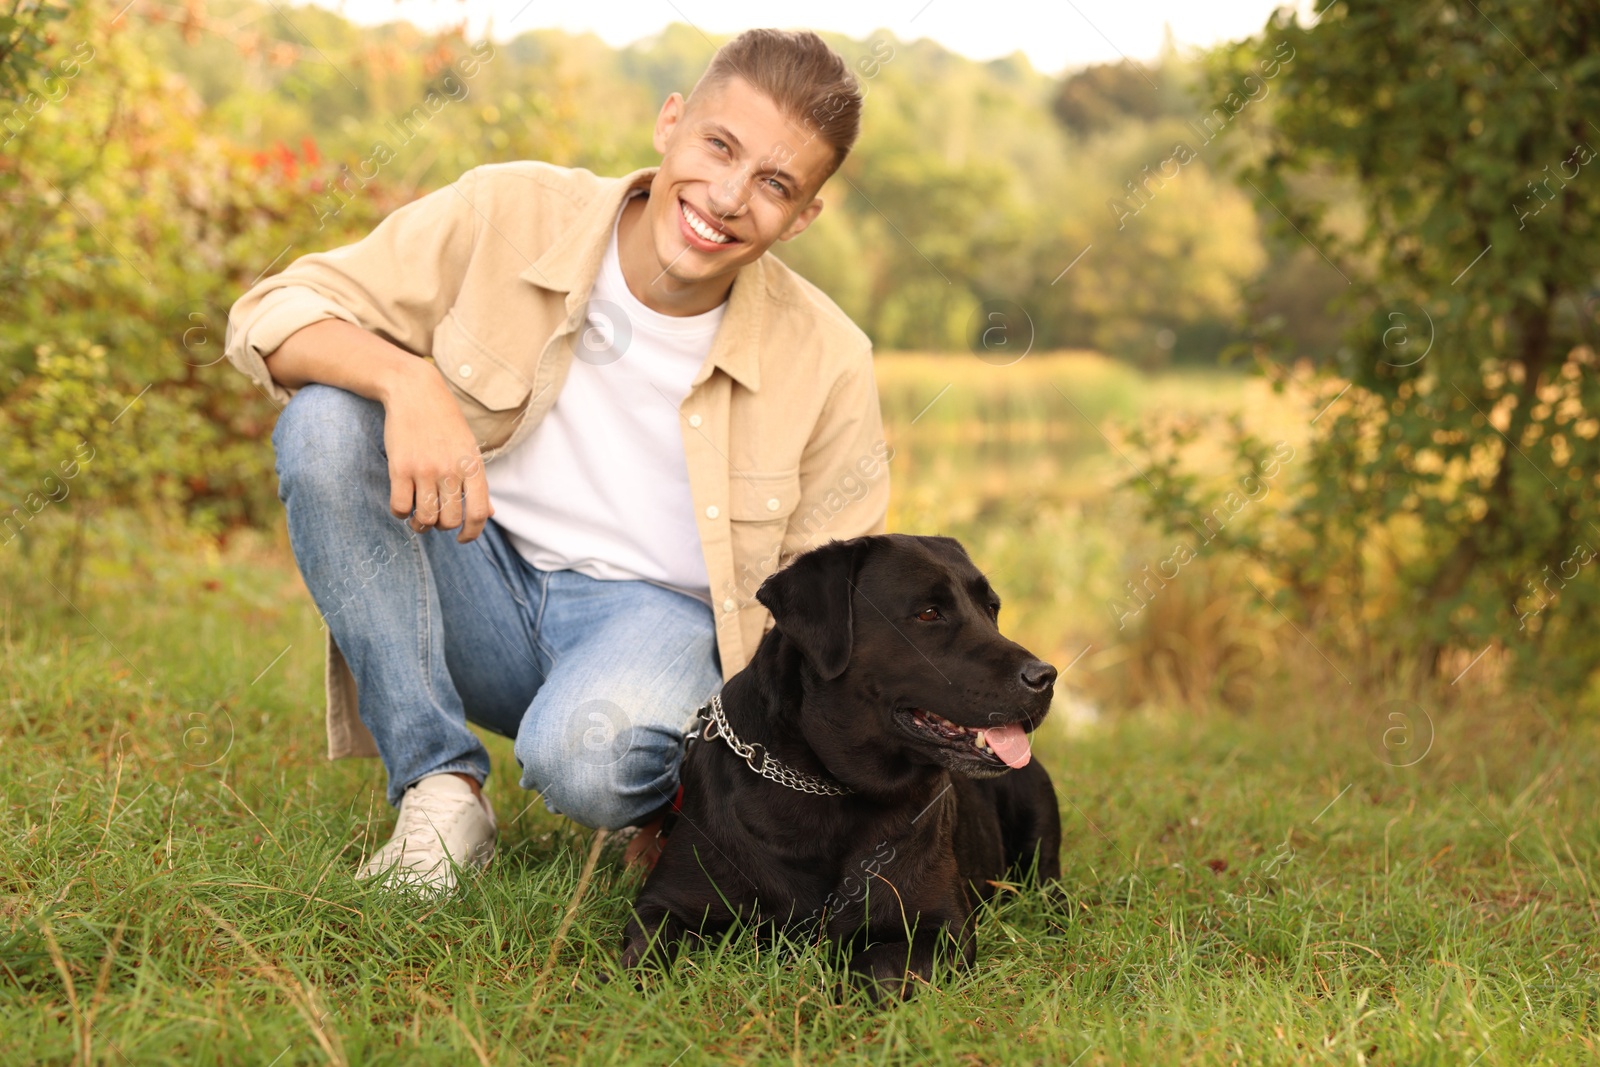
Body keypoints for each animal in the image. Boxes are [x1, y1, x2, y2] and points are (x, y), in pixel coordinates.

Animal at [624, 537, 1062, 998]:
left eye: (991, 609)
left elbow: (880, 967)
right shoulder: (663, 903)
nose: (1045, 676)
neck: (830, 786)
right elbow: (647, 953)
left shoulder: (943, 928)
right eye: (929, 613)